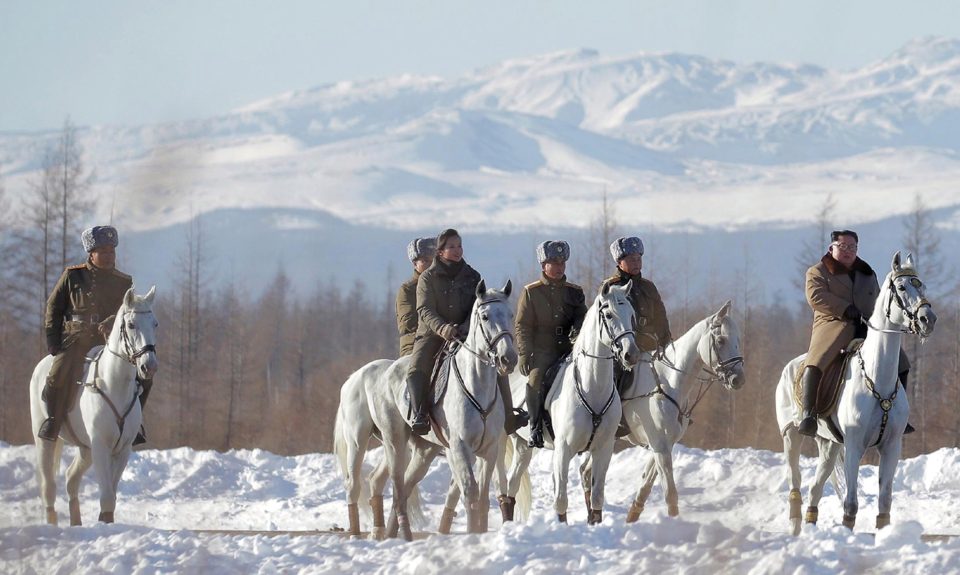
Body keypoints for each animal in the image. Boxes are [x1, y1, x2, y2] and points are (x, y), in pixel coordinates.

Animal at [29, 288, 159, 528]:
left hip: (85, 449)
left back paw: (76, 522)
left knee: (71, 479)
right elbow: (107, 495)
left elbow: (112, 495)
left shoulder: (122, 449)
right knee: (48, 486)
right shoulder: (101, 447)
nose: (149, 366)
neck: (114, 385)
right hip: (44, 440)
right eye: (131, 324)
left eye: (155, 323)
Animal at [362, 280, 516, 540]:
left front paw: (481, 533)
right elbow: (470, 494)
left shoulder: (489, 450)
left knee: (405, 486)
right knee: (397, 487)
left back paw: (393, 534)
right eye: (485, 316)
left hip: (425, 451)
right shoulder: (460, 447)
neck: (477, 385)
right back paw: (403, 534)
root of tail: (385, 371)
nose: (509, 359)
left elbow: (484, 499)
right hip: (395, 442)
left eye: (511, 314)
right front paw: (472, 536)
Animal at [498, 282, 640, 524]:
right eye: (609, 315)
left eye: (631, 315)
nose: (631, 355)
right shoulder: (563, 450)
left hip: (523, 447)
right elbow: (561, 499)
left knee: (513, 484)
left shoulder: (604, 449)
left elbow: (597, 496)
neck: (593, 389)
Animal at [612, 302, 748, 520]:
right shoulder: (660, 445)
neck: (669, 382)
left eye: (738, 340)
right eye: (720, 340)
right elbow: (670, 493)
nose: (738, 380)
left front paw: (633, 514)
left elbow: (647, 481)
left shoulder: (664, 443)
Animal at [772, 253, 936, 536]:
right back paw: (795, 527)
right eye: (902, 287)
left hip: (829, 444)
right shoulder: (854, 445)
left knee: (815, 488)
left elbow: (885, 500)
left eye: (921, 285)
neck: (878, 379)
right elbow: (851, 502)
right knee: (796, 482)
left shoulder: (891, 446)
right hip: (792, 436)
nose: (928, 319)